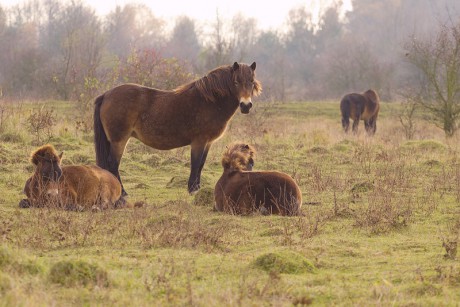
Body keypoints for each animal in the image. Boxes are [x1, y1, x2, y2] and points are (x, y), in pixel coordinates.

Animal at [93, 62, 262, 196]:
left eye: (251, 81)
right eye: (236, 82)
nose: (246, 105)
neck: (209, 102)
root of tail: (106, 95)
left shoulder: (208, 142)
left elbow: (201, 165)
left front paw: (197, 189)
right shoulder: (199, 141)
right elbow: (195, 163)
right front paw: (192, 190)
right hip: (119, 140)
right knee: (113, 163)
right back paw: (123, 193)